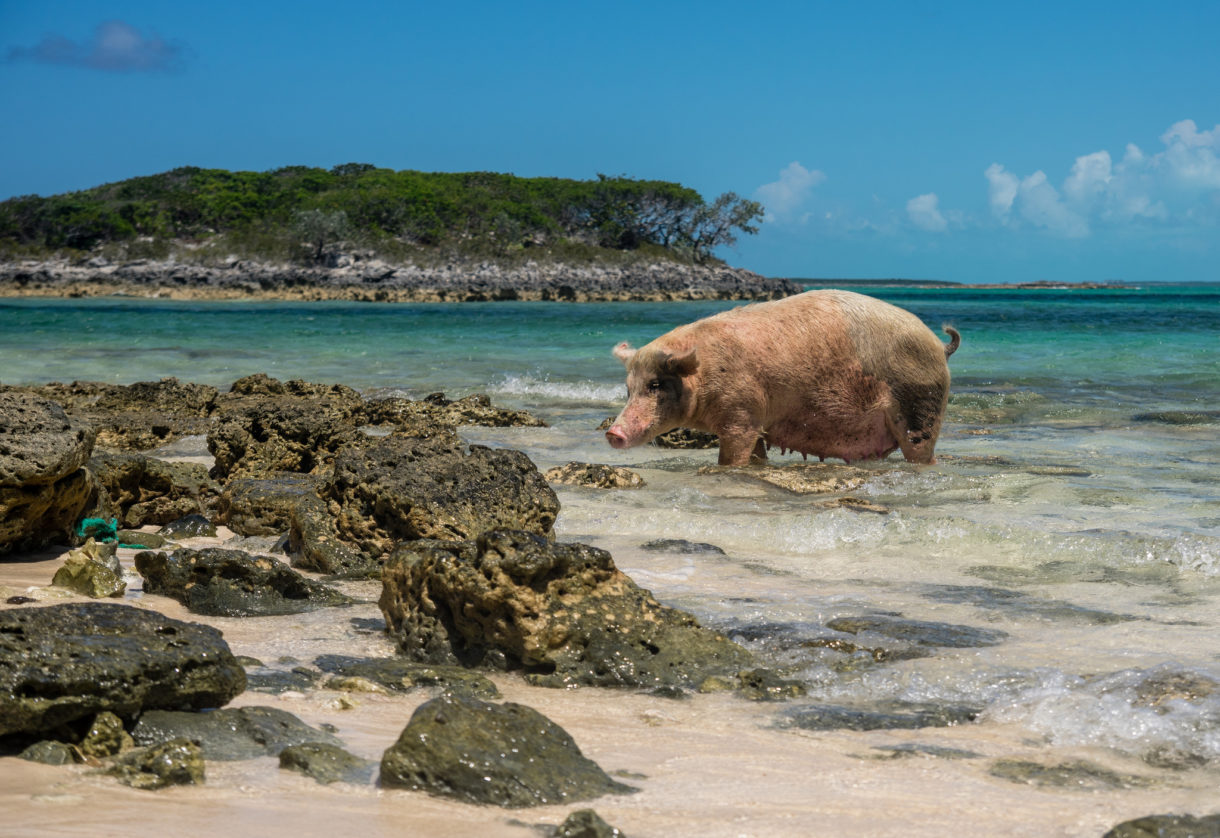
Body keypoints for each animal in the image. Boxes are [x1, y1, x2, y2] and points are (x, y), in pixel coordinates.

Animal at [605, 290, 956, 465]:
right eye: (628, 389)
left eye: (655, 384)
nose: (612, 433)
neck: (706, 373)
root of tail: (940, 345)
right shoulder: (755, 421)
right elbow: (757, 456)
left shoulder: (741, 415)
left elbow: (732, 458)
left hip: (921, 407)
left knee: (922, 451)